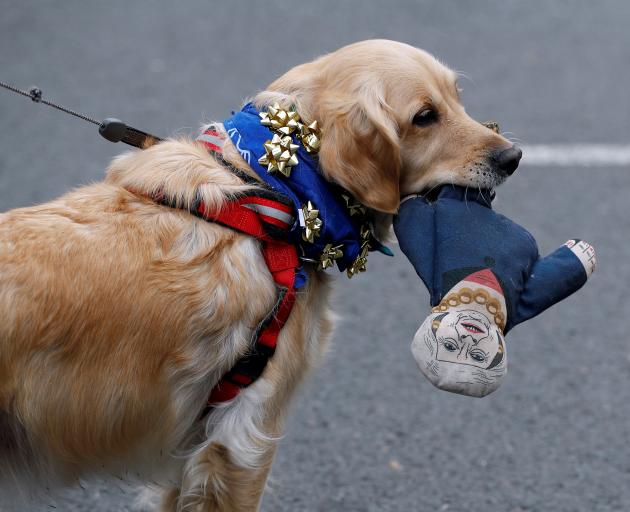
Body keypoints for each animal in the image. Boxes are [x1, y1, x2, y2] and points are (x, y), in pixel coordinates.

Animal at [0, 41, 524, 512]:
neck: (278, 188)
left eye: (456, 97)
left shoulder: (191, 449)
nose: (513, 157)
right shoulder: (243, 436)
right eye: (424, 117)